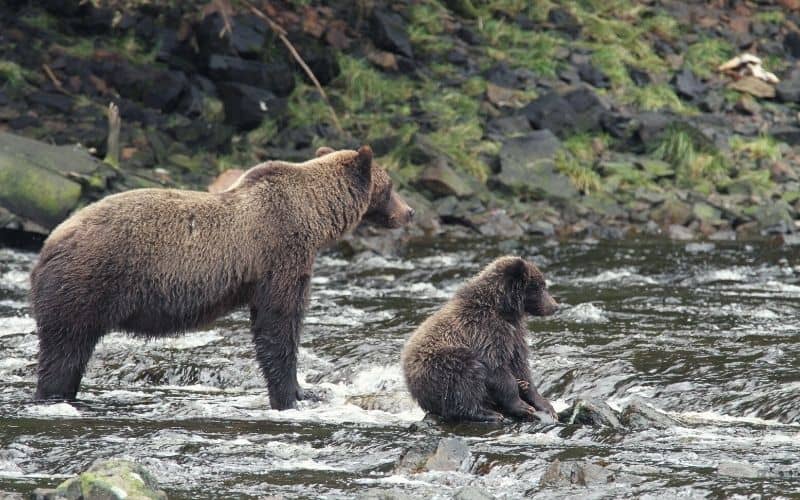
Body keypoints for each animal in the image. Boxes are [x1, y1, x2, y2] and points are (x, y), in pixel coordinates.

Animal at [30, 146, 412, 410]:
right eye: (390, 186)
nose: (409, 212)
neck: (314, 216)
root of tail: (50, 243)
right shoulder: (280, 253)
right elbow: (279, 323)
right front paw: (291, 394)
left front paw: (305, 391)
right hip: (89, 282)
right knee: (65, 349)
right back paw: (54, 395)